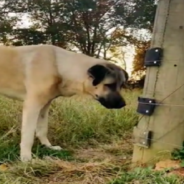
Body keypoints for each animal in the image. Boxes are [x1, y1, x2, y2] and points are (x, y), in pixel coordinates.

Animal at [0, 44, 128, 161]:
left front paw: (48, 146)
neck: (57, 65)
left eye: (121, 85)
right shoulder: (32, 105)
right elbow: (28, 135)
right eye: (109, 85)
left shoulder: (44, 106)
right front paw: (26, 158)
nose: (123, 104)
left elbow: (42, 129)